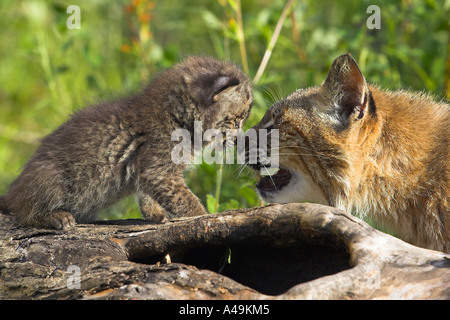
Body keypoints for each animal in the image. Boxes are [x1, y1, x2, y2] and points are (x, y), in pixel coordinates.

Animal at [0, 56, 253, 229]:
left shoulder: (149, 171)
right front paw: (204, 216)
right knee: (23, 211)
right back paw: (56, 216)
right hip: (51, 179)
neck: (178, 119)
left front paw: (155, 214)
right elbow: (185, 200)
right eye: (236, 121)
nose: (240, 139)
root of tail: (14, 191)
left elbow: (146, 193)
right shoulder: (159, 170)